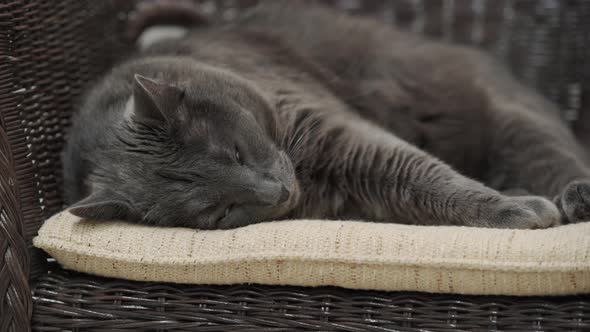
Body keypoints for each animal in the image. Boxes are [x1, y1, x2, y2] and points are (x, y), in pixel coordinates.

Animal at [63, 1, 590, 230]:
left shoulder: (332, 129)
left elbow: (422, 172)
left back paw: (572, 199)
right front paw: (515, 206)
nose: (275, 193)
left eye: (235, 151)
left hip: (512, 119)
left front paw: (517, 210)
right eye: (219, 211)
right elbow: (418, 188)